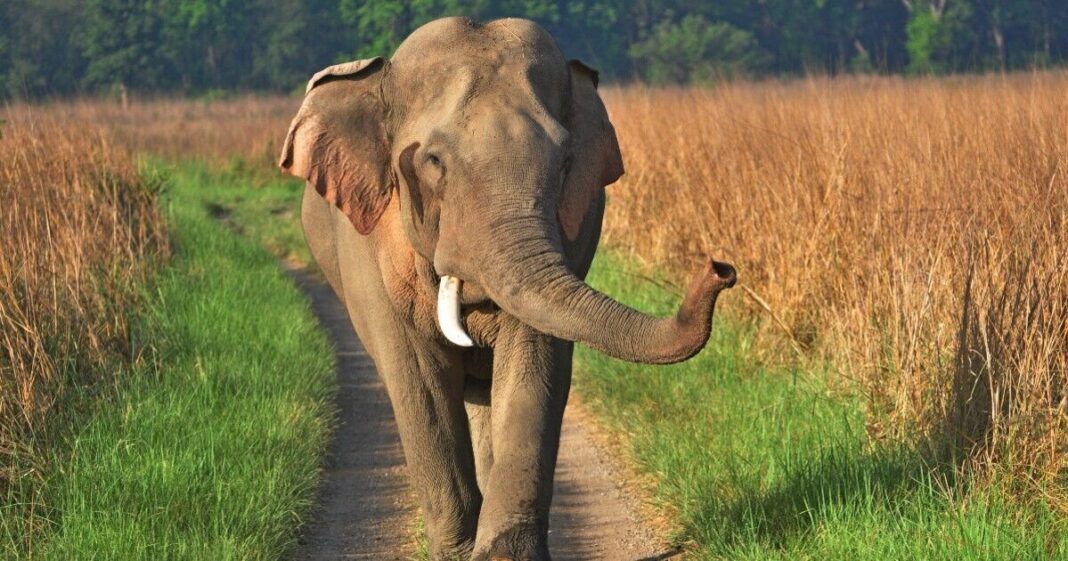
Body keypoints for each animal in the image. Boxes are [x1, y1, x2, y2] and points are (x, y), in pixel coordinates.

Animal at [279, 16, 736, 561]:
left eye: (565, 163)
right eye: (433, 161)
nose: (721, 268)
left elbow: (533, 365)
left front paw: (503, 553)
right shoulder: (371, 254)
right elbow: (421, 386)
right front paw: (459, 554)